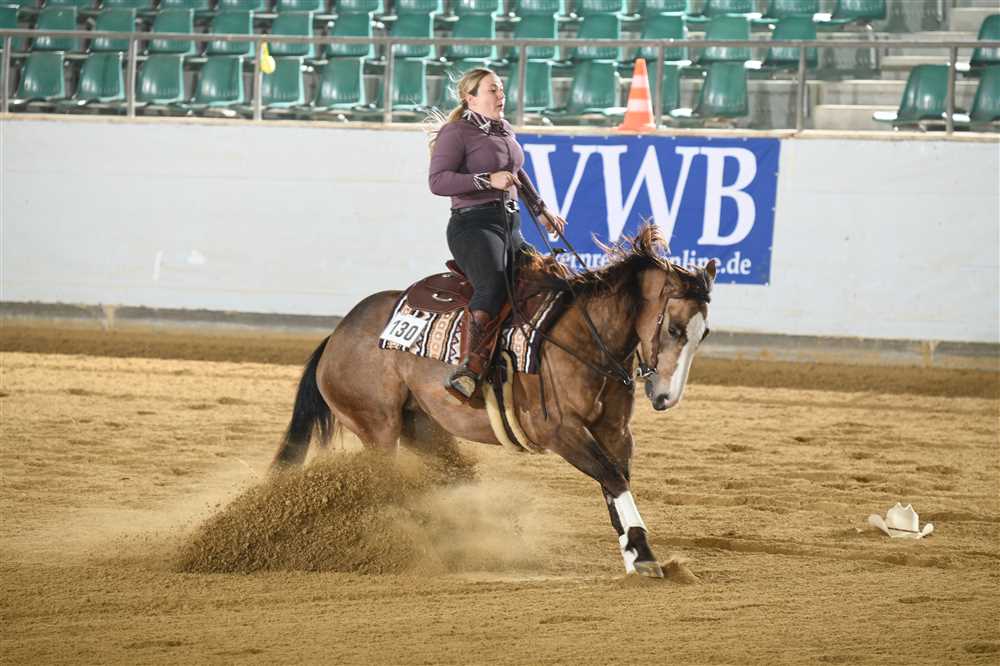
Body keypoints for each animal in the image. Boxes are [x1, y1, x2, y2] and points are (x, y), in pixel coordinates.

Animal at [271, 225, 716, 578]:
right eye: (674, 328)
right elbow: (612, 478)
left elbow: (614, 483)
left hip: (422, 427)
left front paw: (636, 553)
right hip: (377, 427)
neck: (583, 338)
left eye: (704, 333)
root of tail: (336, 337)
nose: (665, 396)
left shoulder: (615, 432)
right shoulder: (560, 431)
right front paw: (641, 555)